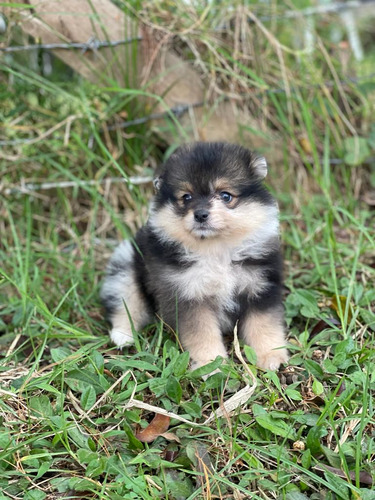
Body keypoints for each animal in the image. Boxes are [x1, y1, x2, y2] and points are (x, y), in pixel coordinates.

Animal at [101, 141, 290, 372]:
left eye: (225, 195)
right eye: (186, 197)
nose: (200, 214)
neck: (216, 250)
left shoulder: (260, 285)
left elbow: (264, 324)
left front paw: (271, 356)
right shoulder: (187, 295)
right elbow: (202, 334)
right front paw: (212, 366)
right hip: (126, 264)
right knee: (126, 303)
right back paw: (123, 335)